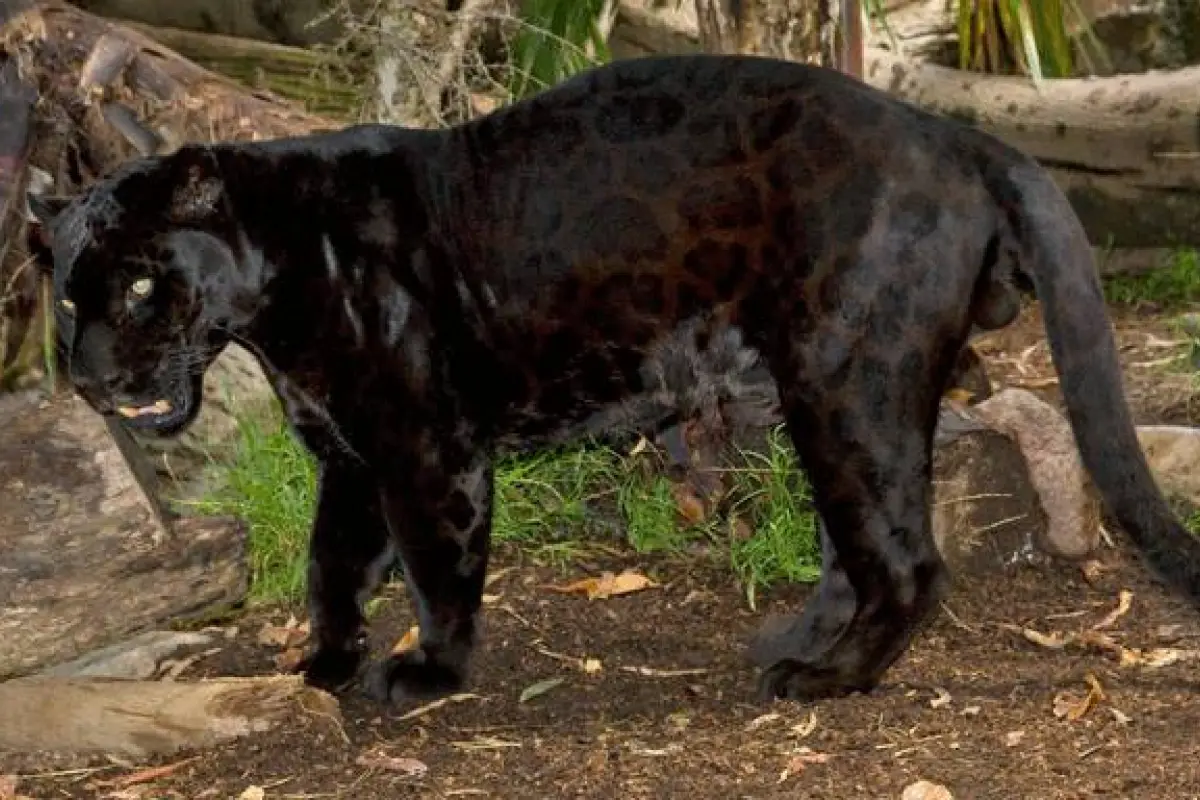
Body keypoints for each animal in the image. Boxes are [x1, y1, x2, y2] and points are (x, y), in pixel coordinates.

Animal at [28, 53, 1200, 705]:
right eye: (68, 300)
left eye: (140, 285)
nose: (90, 377)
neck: (278, 281)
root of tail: (953, 134)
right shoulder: (350, 457)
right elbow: (331, 566)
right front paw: (323, 663)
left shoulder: (425, 446)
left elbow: (436, 567)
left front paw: (425, 675)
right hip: (829, 396)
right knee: (861, 539)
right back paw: (793, 641)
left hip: (845, 379)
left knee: (906, 558)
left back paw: (824, 680)